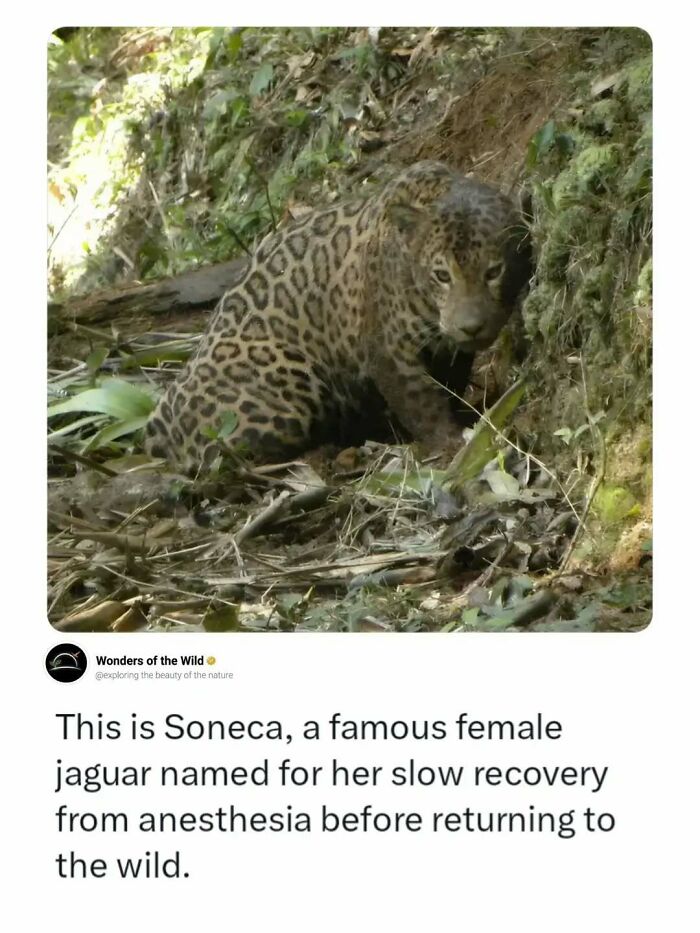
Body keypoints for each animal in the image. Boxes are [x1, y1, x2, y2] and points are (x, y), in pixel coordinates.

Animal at [144, 160, 531, 469]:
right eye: (442, 275)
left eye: (493, 272)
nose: (471, 327)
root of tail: (158, 420)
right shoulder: (390, 349)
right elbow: (420, 399)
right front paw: (449, 441)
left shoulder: (447, 349)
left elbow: (449, 383)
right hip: (287, 375)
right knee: (230, 455)